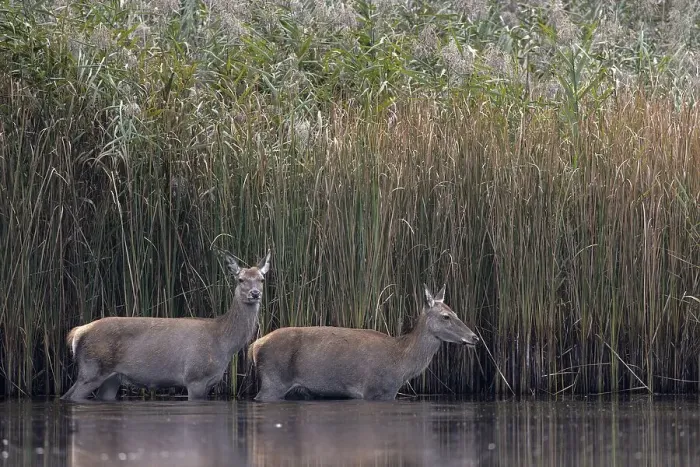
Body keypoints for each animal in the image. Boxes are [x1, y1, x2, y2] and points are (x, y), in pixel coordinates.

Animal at [61, 250, 271, 402]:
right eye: (240, 279)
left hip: (110, 378)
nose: (255, 293)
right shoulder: (195, 377)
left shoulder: (210, 382)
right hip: (92, 368)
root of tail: (77, 332)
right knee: (70, 396)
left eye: (262, 279)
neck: (222, 342)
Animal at [248, 284, 479, 401]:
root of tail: (255, 345)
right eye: (446, 316)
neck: (401, 363)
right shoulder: (375, 390)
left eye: (454, 312)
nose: (474, 337)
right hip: (273, 380)